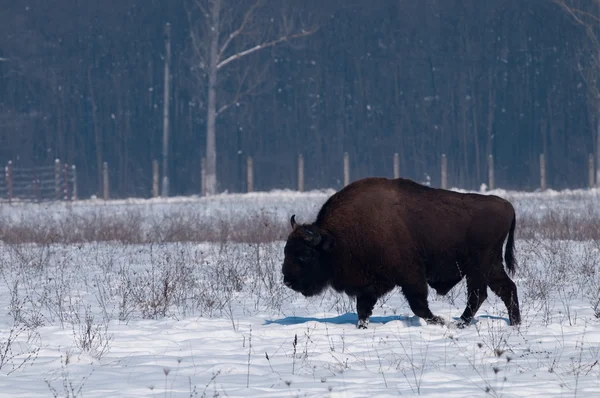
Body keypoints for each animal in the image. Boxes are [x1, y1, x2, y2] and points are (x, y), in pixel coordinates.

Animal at [282, 177, 520, 330]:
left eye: (304, 255)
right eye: (286, 251)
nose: (287, 280)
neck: (334, 239)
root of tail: (508, 207)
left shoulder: (411, 276)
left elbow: (419, 305)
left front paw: (439, 321)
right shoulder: (371, 285)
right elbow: (363, 309)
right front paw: (362, 327)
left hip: (478, 267)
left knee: (478, 295)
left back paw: (460, 324)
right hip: (491, 266)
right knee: (505, 289)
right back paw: (515, 323)